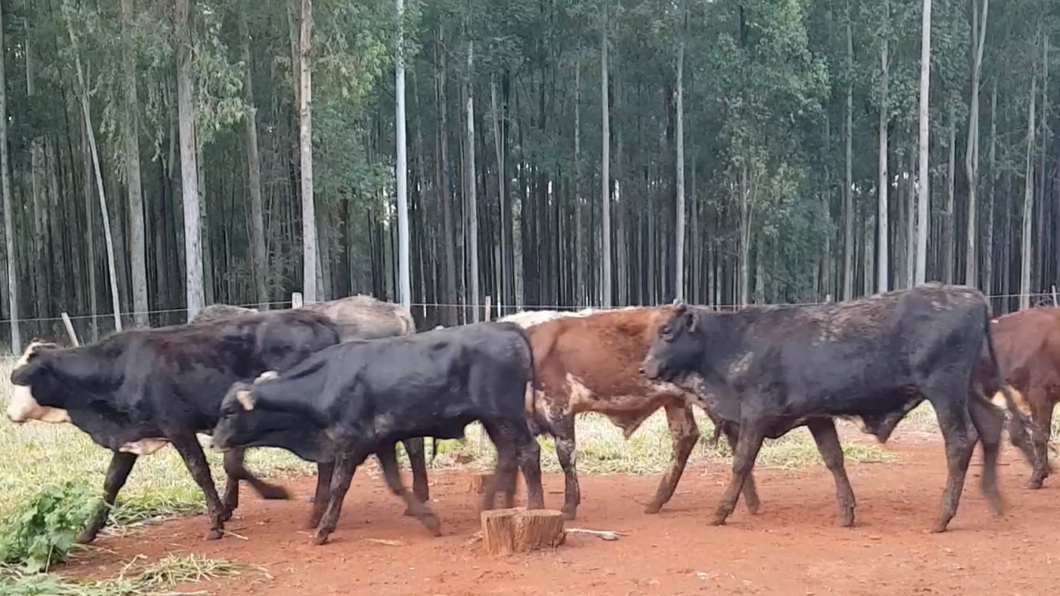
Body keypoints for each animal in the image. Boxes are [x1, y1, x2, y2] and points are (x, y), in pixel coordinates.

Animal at [7, 307, 343, 540]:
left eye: (21, 378)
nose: (9, 414)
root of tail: (318, 319)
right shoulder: (130, 438)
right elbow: (111, 483)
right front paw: (88, 533)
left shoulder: (178, 427)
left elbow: (202, 471)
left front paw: (217, 520)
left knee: (326, 460)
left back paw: (318, 513)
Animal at [211, 320, 551, 542]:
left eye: (229, 412)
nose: (214, 442)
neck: (326, 379)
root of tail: (505, 327)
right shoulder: (382, 441)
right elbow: (395, 483)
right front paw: (429, 520)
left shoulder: (350, 443)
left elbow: (338, 486)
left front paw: (323, 529)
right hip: (494, 420)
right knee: (508, 456)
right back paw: (494, 506)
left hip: (506, 415)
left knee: (528, 452)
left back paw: (534, 507)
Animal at [500, 305, 758, 519]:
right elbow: (524, 458)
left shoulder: (558, 406)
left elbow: (565, 457)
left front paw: (568, 507)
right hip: (676, 400)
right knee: (686, 437)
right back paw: (658, 501)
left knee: (735, 436)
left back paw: (746, 502)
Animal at [640, 282, 1021, 534]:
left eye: (667, 331)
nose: (644, 368)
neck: (734, 341)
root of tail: (974, 296)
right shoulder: (818, 417)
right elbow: (834, 459)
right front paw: (847, 511)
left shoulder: (755, 417)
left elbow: (741, 464)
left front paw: (721, 512)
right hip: (967, 391)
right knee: (992, 424)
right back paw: (994, 498)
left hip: (945, 392)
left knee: (960, 442)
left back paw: (942, 517)